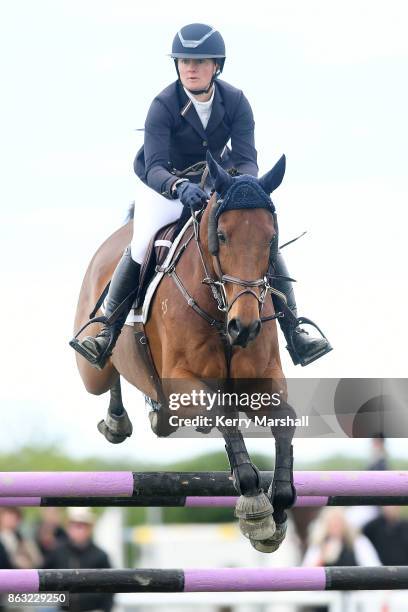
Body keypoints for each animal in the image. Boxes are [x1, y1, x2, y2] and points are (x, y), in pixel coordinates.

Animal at [71, 152, 296, 548]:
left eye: (271, 239)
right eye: (221, 236)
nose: (245, 327)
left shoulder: (262, 383)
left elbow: (286, 421)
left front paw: (280, 504)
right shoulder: (184, 383)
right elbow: (223, 415)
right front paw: (255, 505)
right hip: (92, 371)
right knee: (106, 371)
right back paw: (115, 417)